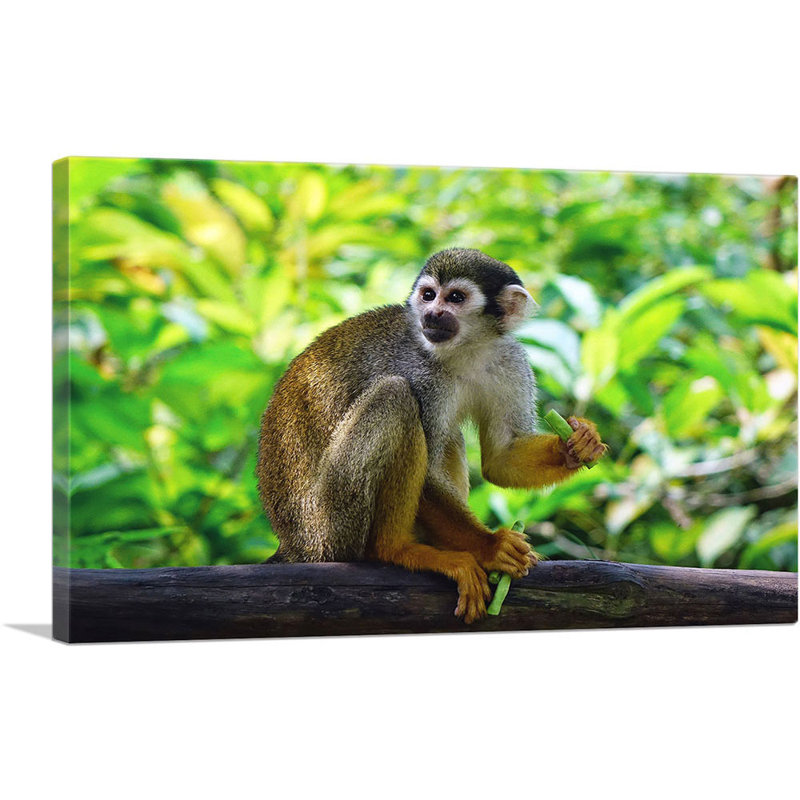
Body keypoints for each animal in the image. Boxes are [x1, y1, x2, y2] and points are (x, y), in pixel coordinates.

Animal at [257, 248, 605, 622]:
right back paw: (397, 549)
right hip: (330, 526)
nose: (433, 313)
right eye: (428, 295)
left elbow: (501, 458)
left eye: (455, 298)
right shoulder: (419, 372)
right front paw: (491, 547)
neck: (466, 351)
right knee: (395, 396)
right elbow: (427, 475)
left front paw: (576, 445)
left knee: (448, 434)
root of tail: (293, 544)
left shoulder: (509, 361)